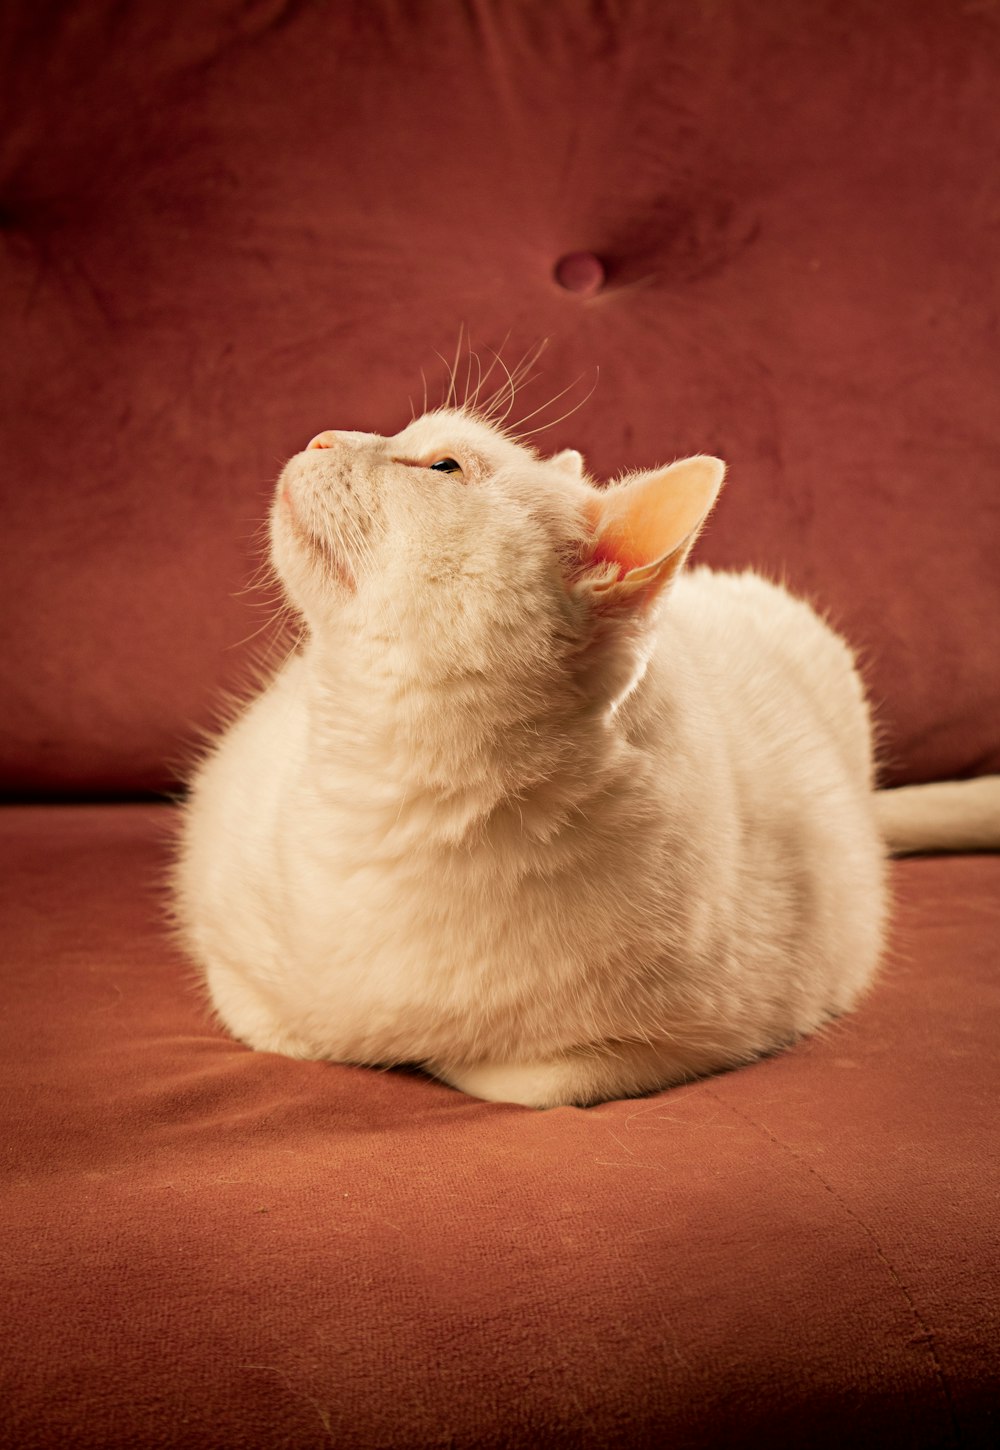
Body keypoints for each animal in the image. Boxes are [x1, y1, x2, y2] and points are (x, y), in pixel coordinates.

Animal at [173, 408, 997, 1107]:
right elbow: (287, 1025)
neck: (393, 792)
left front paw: (439, 1054)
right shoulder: (228, 945)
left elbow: (524, 1078)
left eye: (443, 466)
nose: (319, 435)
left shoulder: (706, 1034)